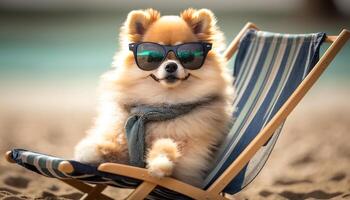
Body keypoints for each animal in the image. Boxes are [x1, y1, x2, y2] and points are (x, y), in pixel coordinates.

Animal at [75, 7, 237, 186]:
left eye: (187, 56)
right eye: (152, 56)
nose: (171, 66)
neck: (163, 103)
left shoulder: (187, 172)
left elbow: (166, 145)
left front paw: (161, 161)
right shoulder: (127, 152)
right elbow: (116, 149)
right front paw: (95, 150)